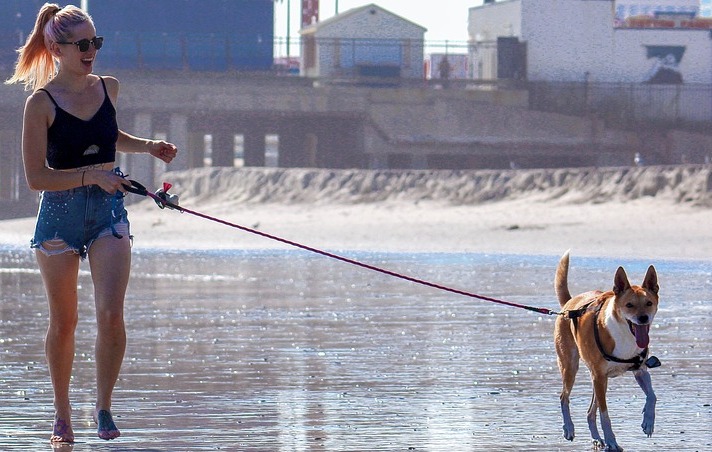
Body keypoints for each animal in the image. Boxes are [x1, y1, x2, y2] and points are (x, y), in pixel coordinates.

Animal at [552, 251, 660, 452]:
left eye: (649, 303)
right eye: (629, 305)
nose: (643, 318)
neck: (625, 333)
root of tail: (569, 304)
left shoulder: (640, 370)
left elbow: (652, 396)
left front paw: (648, 422)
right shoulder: (599, 376)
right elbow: (605, 415)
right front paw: (612, 441)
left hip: (599, 380)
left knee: (589, 412)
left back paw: (596, 438)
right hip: (572, 366)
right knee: (564, 397)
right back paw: (569, 428)